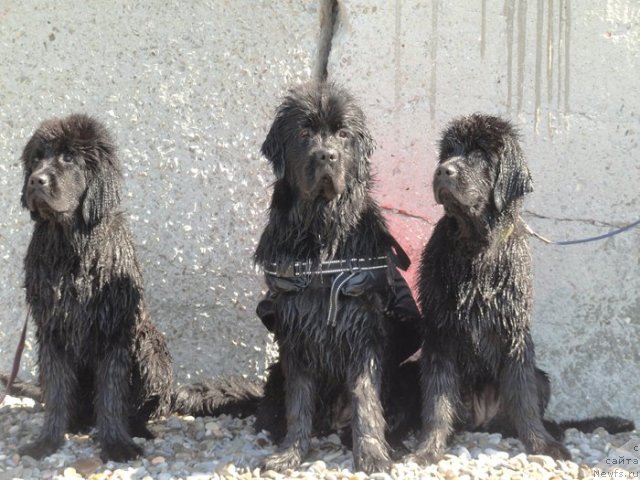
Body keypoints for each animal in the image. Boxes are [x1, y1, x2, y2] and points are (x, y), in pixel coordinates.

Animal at [252, 83, 422, 472]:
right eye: (303, 133)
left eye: (343, 135)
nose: (326, 156)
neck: (321, 230)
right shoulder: (294, 333)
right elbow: (298, 401)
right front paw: (290, 453)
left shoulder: (363, 330)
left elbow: (365, 398)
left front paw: (372, 454)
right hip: (274, 374)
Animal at [410, 114, 636, 464]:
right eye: (448, 151)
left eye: (481, 154)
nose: (443, 170)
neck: (477, 248)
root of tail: (482, 421)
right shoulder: (440, 331)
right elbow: (438, 400)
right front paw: (428, 449)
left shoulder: (515, 330)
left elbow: (522, 395)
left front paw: (542, 445)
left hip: (542, 377)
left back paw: (551, 431)